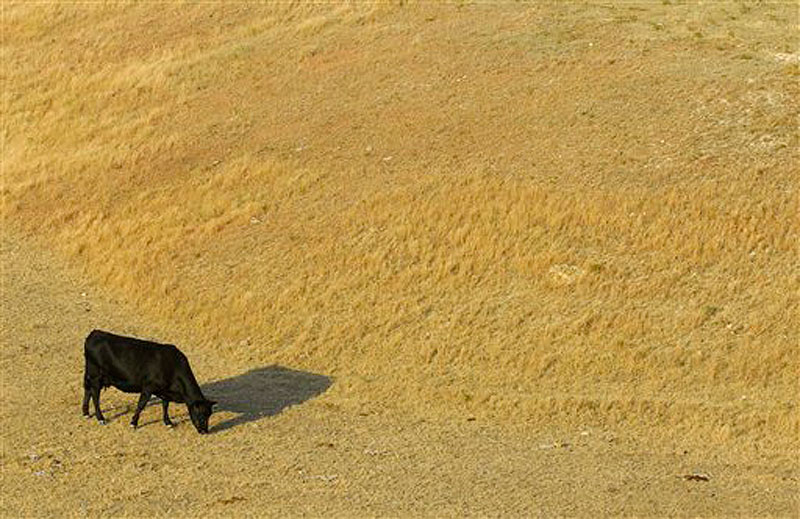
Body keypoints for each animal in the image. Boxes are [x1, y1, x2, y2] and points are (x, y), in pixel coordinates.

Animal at [82, 329, 217, 434]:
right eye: (201, 414)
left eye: (209, 414)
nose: (204, 431)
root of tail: (95, 333)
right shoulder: (148, 387)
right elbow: (141, 404)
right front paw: (133, 423)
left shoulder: (165, 390)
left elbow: (165, 405)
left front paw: (168, 422)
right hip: (96, 376)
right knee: (95, 396)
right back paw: (100, 418)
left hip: (92, 375)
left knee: (87, 391)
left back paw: (86, 413)